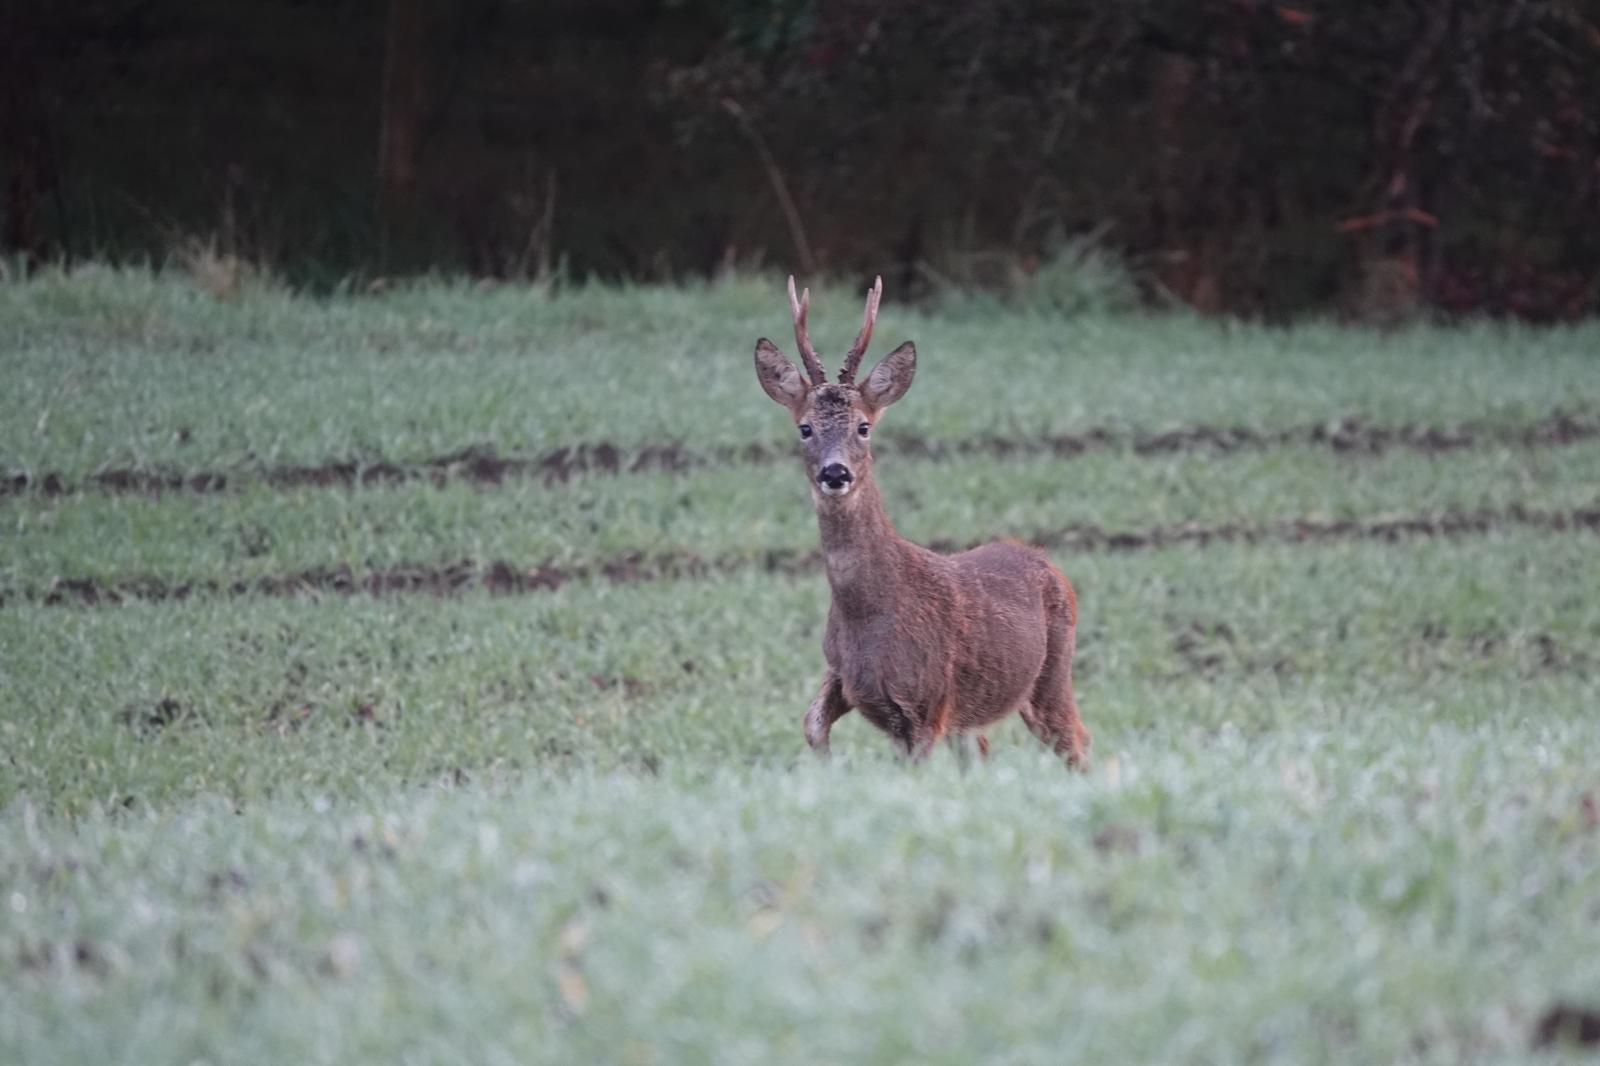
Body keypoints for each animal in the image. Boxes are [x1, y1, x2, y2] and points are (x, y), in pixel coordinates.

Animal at [753, 275, 1091, 769]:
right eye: (805, 428)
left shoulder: (927, 700)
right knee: (984, 750)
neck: (869, 613)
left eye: (863, 427)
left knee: (1077, 742)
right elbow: (812, 724)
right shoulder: (846, 677)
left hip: (1051, 674)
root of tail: (1047, 561)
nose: (835, 474)